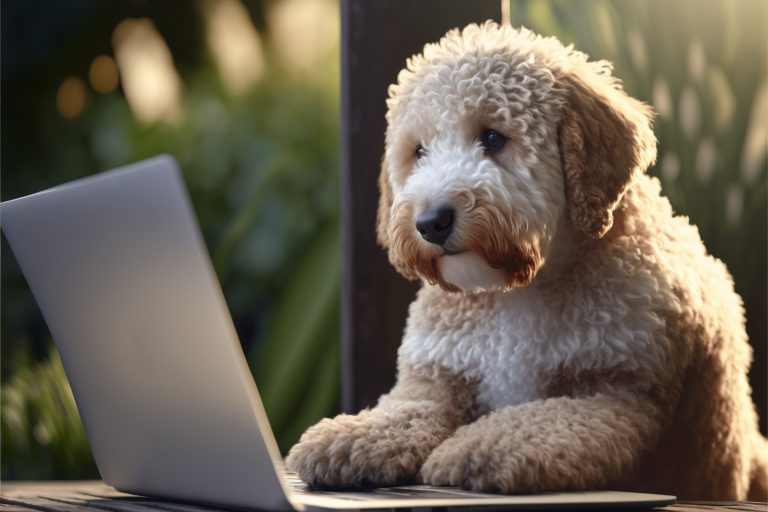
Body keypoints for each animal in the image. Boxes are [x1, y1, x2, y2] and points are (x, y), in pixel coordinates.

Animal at [284, 23, 768, 500]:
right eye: (418, 151)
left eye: (493, 138)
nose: (430, 222)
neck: (516, 290)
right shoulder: (438, 378)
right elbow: (404, 410)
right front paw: (349, 437)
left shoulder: (618, 393)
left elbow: (535, 421)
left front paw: (480, 448)